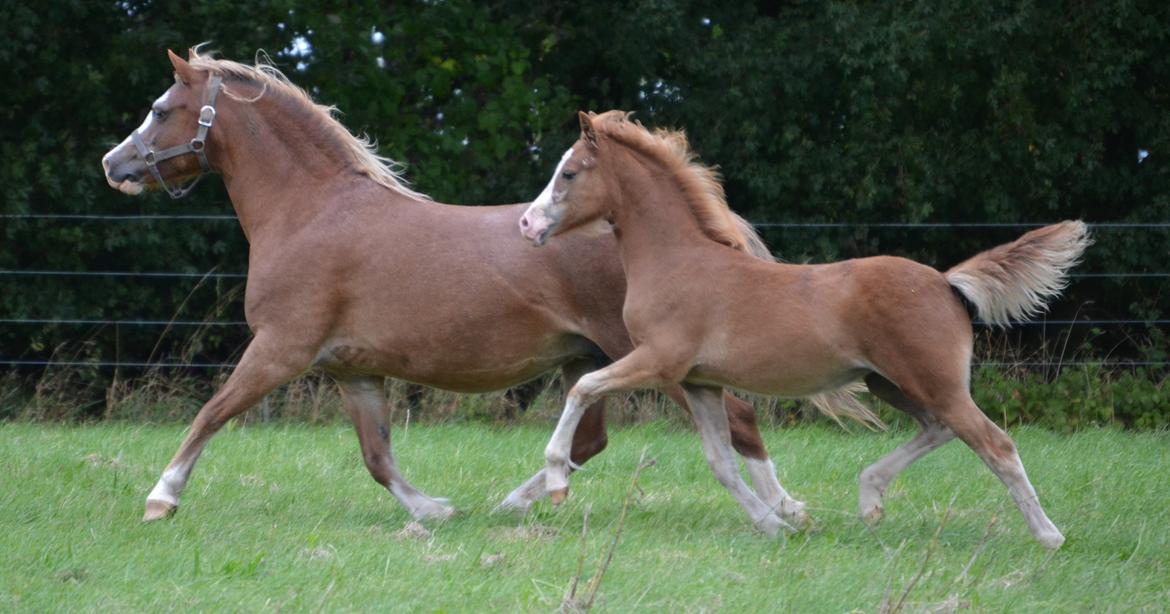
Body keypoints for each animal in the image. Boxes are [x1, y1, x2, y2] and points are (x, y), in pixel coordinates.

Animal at [98, 49, 814, 521]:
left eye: (161, 109)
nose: (114, 164)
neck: (309, 212)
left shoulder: (279, 348)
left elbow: (211, 413)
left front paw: (160, 498)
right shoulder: (352, 370)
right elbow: (377, 456)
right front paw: (433, 510)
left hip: (650, 356)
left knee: (738, 419)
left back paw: (783, 509)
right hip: (590, 356)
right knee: (591, 439)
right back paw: (515, 502)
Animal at [519, 109, 1085, 544]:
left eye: (570, 173)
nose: (526, 224)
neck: (677, 262)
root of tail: (946, 282)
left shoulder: (659, 362)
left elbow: (584, 388)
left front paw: (557, 479)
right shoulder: (699, 382)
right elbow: (721, 461)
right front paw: (775, 525)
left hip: (932, 382)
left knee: (996, 444)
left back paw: (1049, 536)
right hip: (891, 383)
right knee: (940, 428)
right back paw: (870, 497)